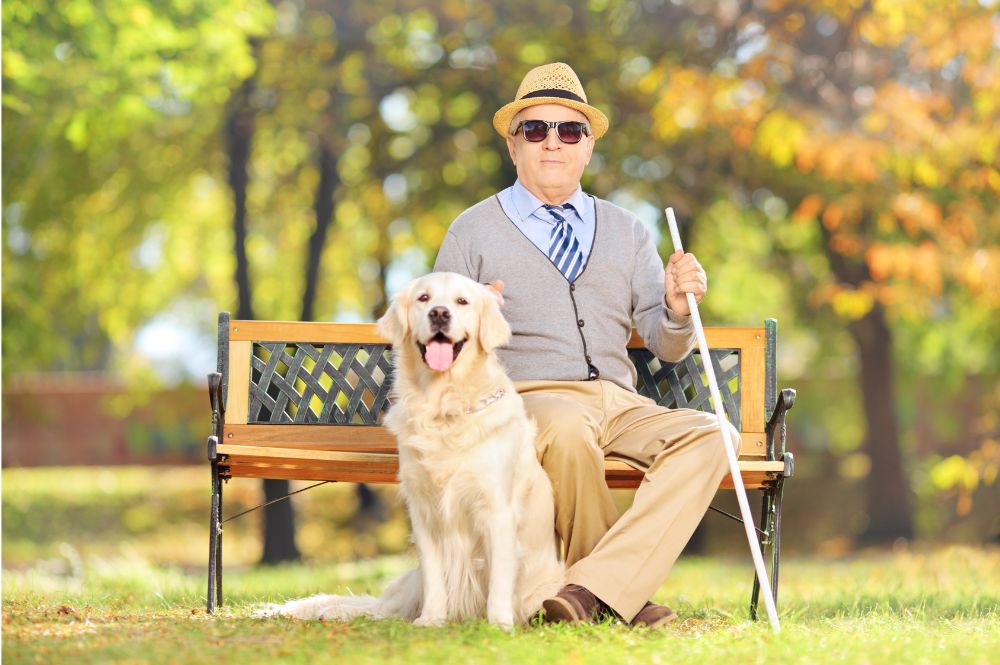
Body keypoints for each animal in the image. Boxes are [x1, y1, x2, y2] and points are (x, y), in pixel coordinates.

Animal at [258, 272, 568, 628]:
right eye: (424, 298)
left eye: (462, 301)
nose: (440, 313)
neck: (443, 408)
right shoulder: (422, 511)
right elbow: (434, 575)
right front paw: (431, 620)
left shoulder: (497, 510)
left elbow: (500, 578)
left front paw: (499, 625)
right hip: (409, 584)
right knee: (383, 608)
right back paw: (337, 612)